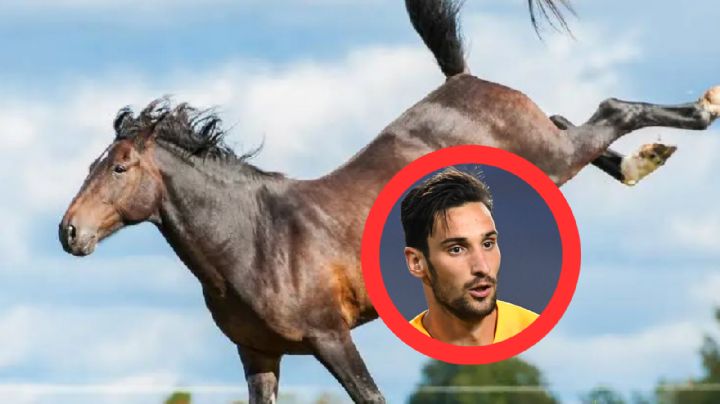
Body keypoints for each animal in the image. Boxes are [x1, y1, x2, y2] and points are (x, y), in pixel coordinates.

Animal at [58, 0, 719, 402]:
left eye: (118, 167)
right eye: (92, 165)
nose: (69, 233)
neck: (254, 239)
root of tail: (461, 79)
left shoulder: (330, 337)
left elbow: (371, 395)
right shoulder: (259, 354)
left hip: (553, 157)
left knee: (610, 111)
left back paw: (699, 111)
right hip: (549, 158)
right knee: (576, 119)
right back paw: (646, 159)